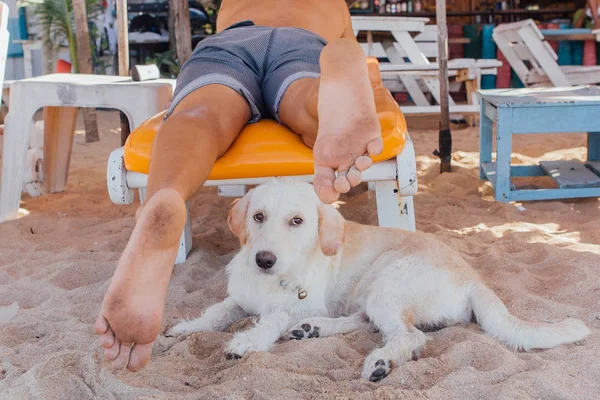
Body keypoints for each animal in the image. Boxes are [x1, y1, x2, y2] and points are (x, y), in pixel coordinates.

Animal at [169, 178, 592, 382]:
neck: (275, 280)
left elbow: (274, 317)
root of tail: (474, 277)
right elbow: (217, 312)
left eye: (297, 221)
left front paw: (247, 342)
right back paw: (314, 331)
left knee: (409, 336)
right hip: (373, 293)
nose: (264, 259)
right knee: (366, 322)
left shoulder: (298, 303)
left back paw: (381, 361)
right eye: (257, 216)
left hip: (388, 287)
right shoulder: (240, 298)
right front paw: (186, 328)